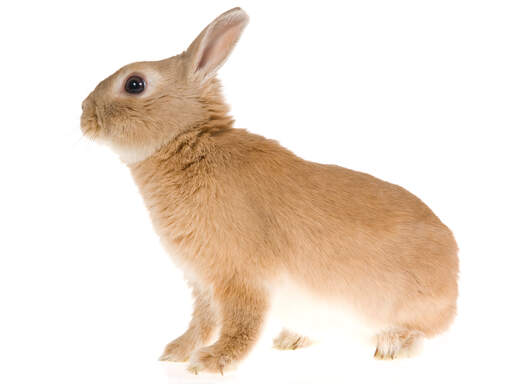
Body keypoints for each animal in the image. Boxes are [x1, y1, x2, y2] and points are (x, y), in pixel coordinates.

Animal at [81, 6, 460, 376]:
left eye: (135, 84)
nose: (84, 114)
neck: (190, 143)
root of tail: (455, 278)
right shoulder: (203, 282)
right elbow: (203, 321)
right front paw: (177, 352)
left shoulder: (240, 276)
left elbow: (241, 322)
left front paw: (211, 362)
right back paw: (293, 338)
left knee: (421, 332)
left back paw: (393, 346)